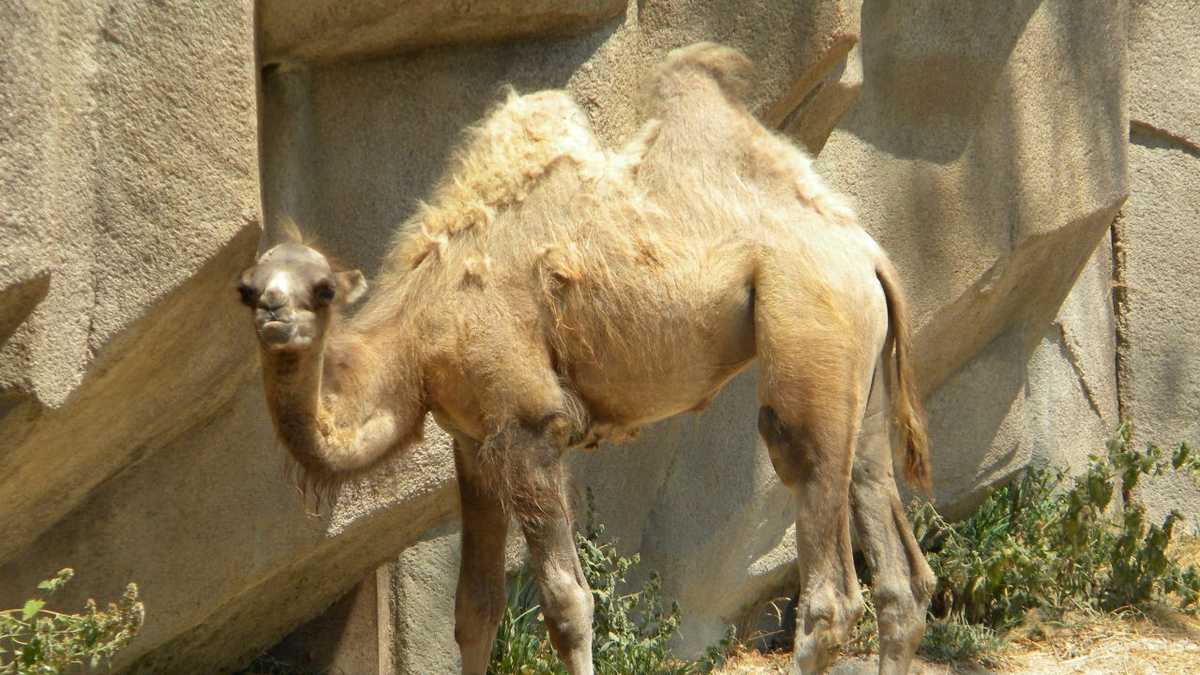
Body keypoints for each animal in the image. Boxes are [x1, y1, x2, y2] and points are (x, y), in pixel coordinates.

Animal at [238, 43, 936, 675]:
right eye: (246, 288)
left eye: (322, 290)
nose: (274, 314)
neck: (419, 334)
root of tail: (869, 254)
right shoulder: (474, 439)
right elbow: (474, 609)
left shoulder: (530, 426)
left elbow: (567, 605)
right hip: (861, 373)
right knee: (898, 566)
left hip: (811, 329)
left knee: (826, 574)